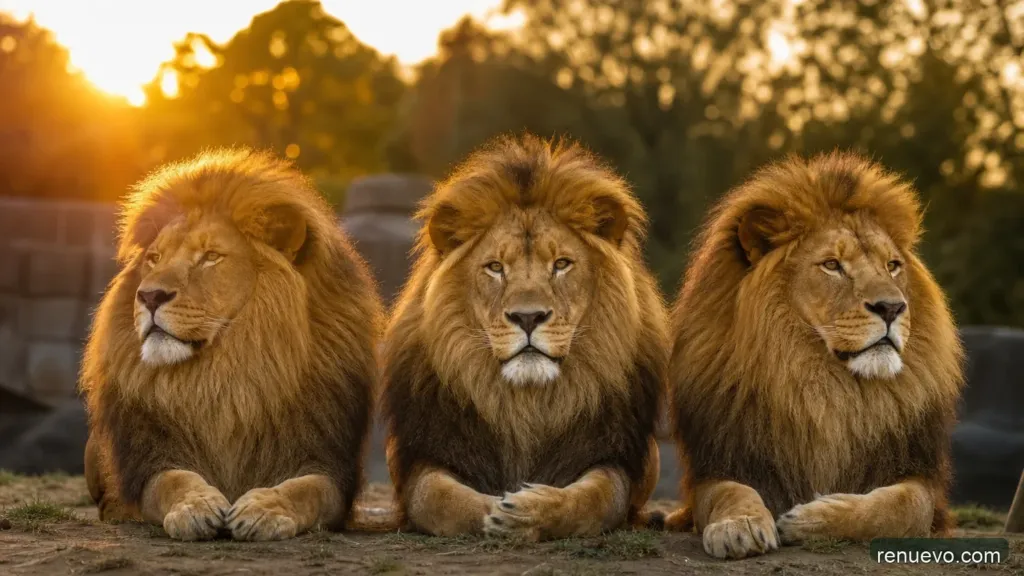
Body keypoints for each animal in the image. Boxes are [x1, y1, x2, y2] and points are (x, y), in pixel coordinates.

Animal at [80, 149, 381, 541]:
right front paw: (196, 507)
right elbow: (174, 481)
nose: (149, 296)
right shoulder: (150, 460)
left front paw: (263, 509)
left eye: (211, 256)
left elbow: (305, 489)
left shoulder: (327, 463)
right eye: (154, 258)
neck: (228, 373)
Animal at [381, 135, 668, 540]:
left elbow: (596, 499)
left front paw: (532, 510)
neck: (525, 403)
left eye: (561, 264)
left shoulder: (609, 456)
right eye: (495, 267)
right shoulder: (424, 456)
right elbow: (439, 499)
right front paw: (496, 510)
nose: (528, 317)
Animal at [661, 152, 964, 558]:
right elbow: (730, 492)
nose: (892, 307)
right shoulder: (720, 464)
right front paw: (739, 525)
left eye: (892, 266)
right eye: (832, 265)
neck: (823, 387)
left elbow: (900, 506)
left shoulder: (919, 478)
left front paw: (810, 518)